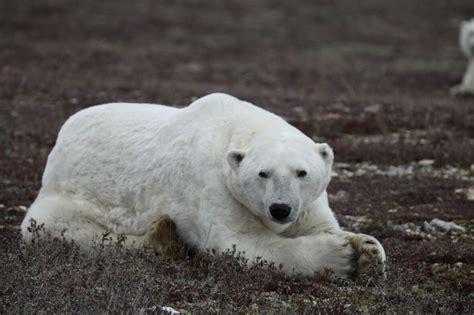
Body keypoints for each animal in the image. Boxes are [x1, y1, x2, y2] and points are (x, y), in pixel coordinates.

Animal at [21, 93, 386, 278]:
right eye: (263, 173)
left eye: (302, 172)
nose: (280, 208)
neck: (233, 127)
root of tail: (61, 137)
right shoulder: (212, 186)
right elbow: (241, 244)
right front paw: (341, 257)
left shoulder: (308, 204)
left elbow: (321, 226)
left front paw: (367, 250)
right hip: (72, 194)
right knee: (58, 228)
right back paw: (162, 238)